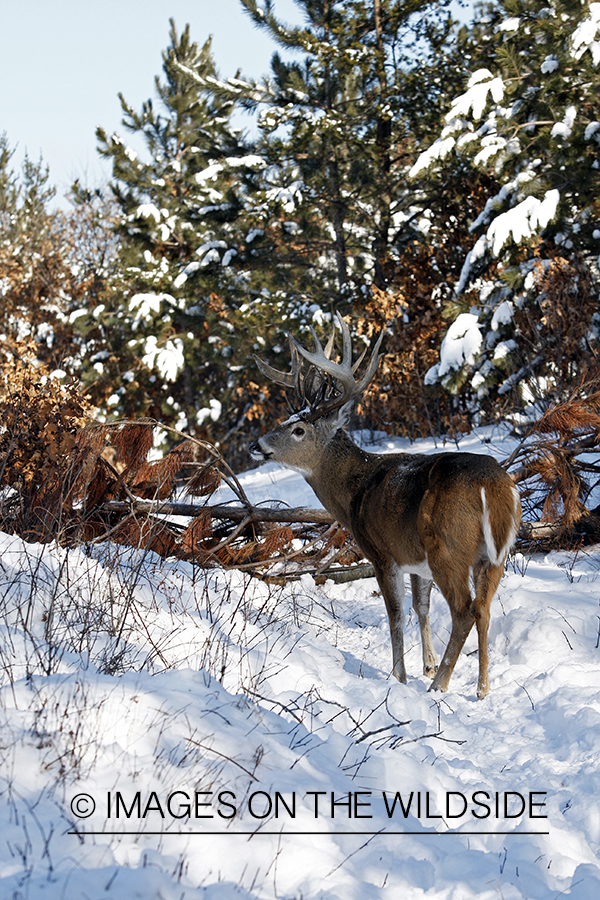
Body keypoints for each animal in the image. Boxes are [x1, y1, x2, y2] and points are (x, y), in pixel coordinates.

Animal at [248, 312, 520, 700]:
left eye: (299, 430)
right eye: (285, 421)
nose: (256, 445)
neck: (354, 491)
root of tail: (492, 485)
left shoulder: (381, 551)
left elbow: (395, 612)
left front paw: (401, 676)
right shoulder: (415, 560)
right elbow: (421, 606)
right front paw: (427, 665)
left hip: (448, 548)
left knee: (464, 610)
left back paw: (439, 685)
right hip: (495, 554)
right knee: (483, 608)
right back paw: (482, 688)